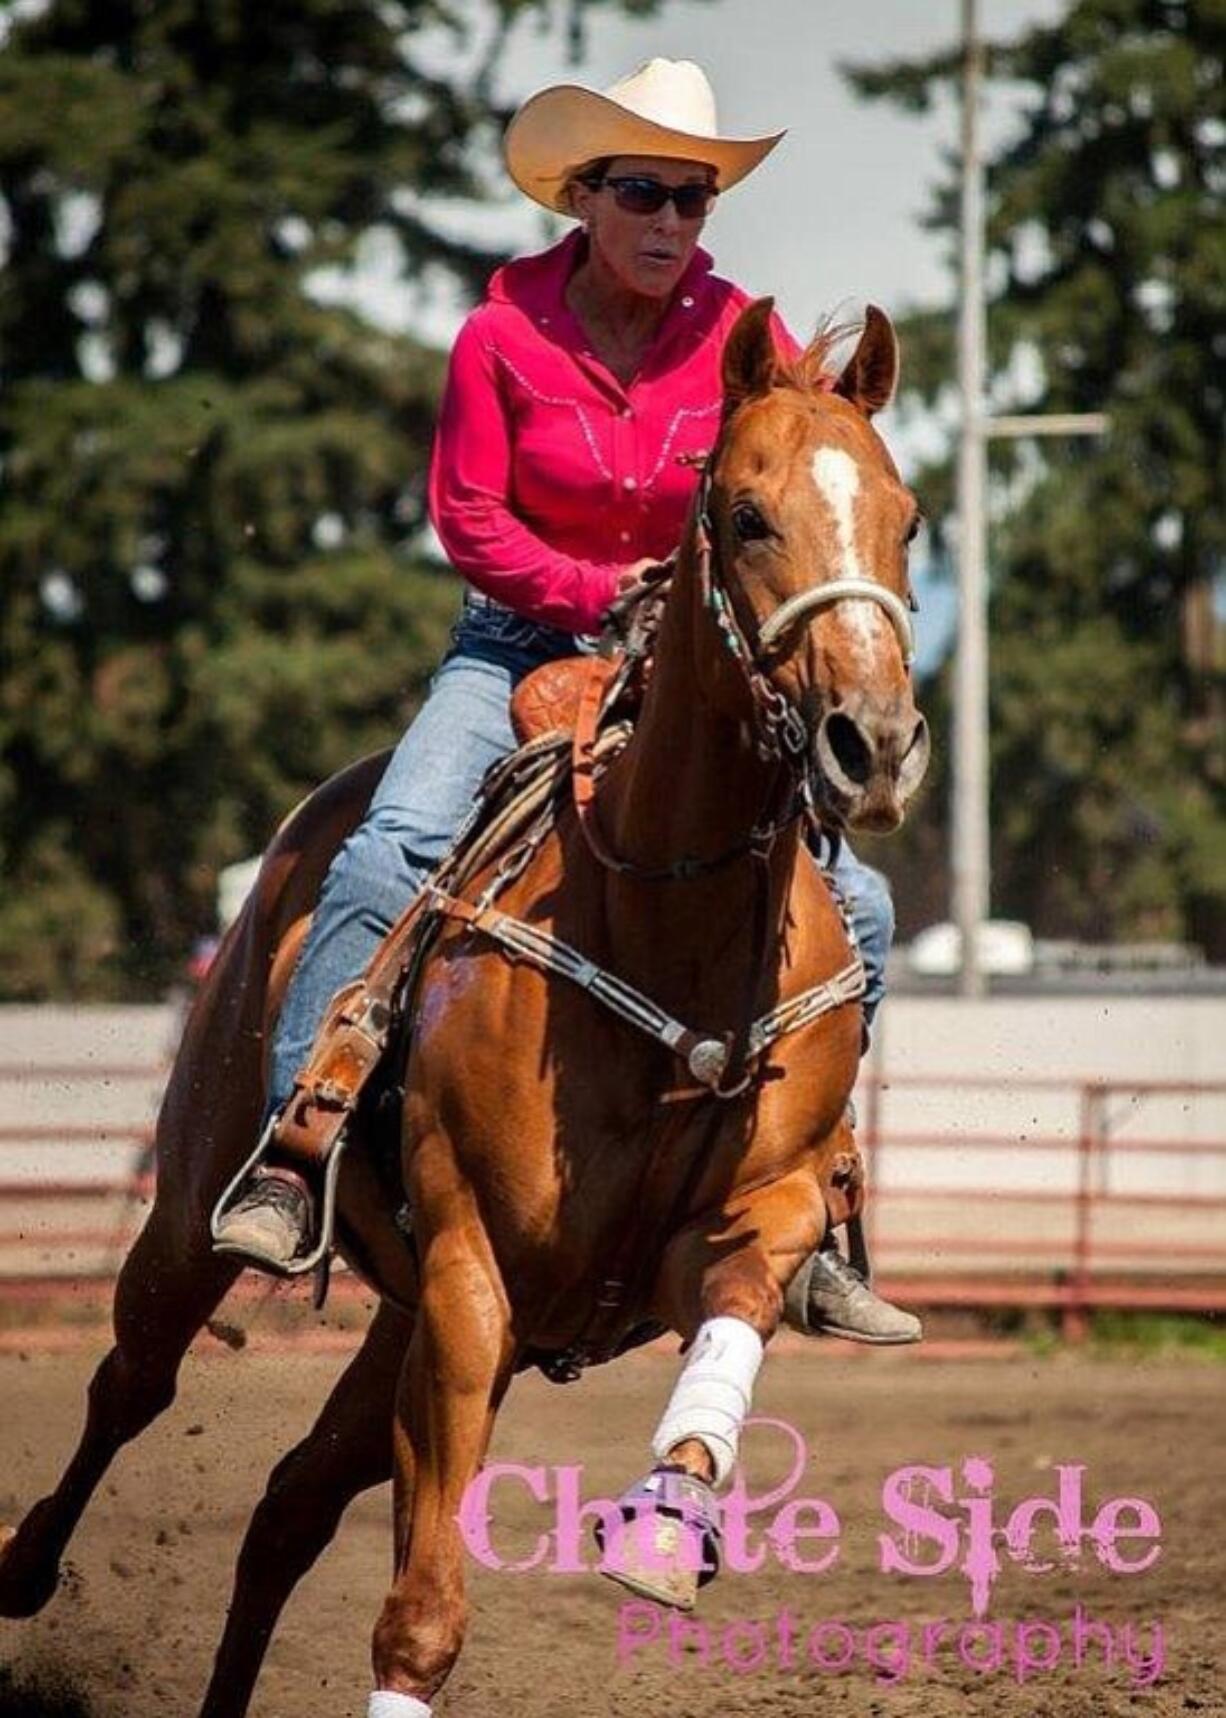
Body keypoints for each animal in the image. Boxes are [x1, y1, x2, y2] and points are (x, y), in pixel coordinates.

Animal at [0, 302, 920, 1711]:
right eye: (748, 513)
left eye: (907, 517)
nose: (871, 743)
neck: (665, 923)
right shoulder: (469, 1269)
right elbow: (421, 1611)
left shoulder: (740, 1225)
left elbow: (734, 1318)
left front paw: (666, 1525)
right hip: (201, 1213)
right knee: (129, 1380)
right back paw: (19, 1565)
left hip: (399, 1322)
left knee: (286, 1507)